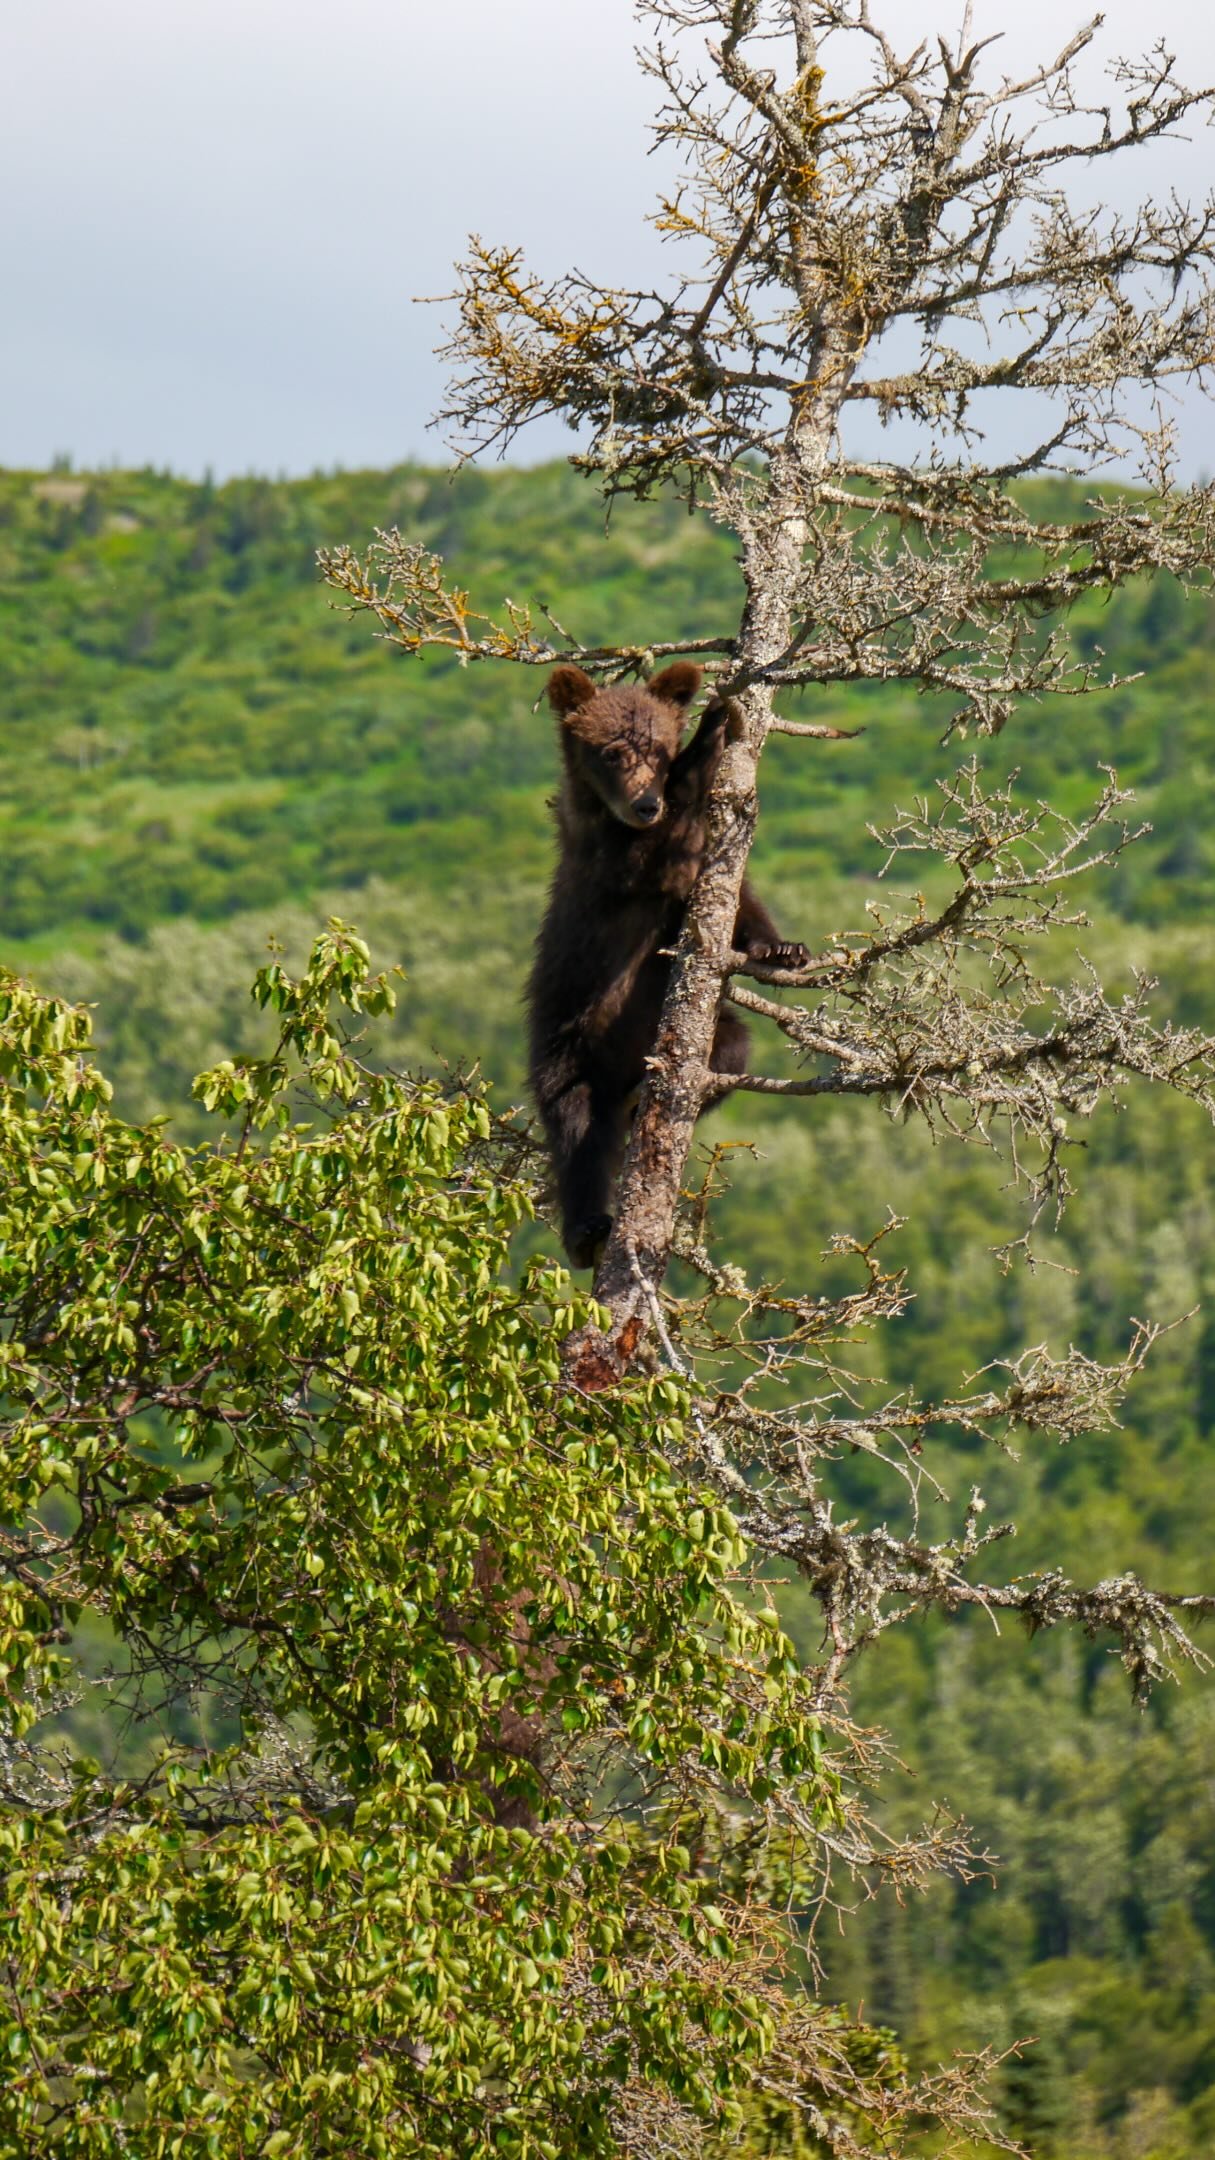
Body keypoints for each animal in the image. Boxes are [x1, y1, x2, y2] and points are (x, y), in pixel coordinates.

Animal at [527, 659, 809, 1269]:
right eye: (611, 751)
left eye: (657, 746)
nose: (644, 804)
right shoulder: (607, 854)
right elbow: (658, 854)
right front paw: (710, 731)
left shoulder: (698, 861)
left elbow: (737, 898)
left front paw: (782, 948)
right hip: (565, 1042)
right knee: (575, 1129)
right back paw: (587, 1230)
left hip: (703, 1037)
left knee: (730, 1051)